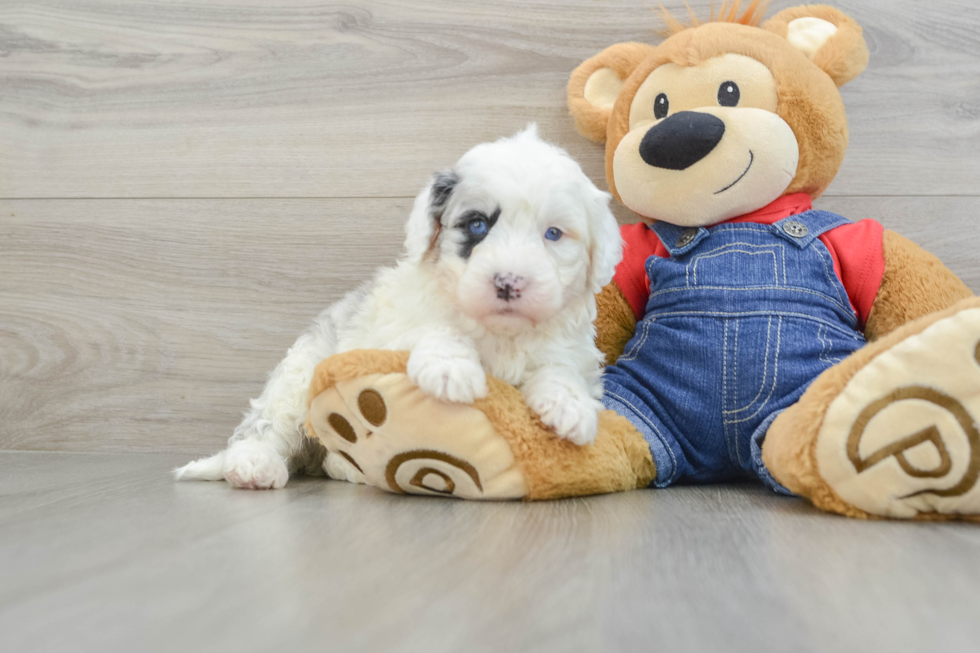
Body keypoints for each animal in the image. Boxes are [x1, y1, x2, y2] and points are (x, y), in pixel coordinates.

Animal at [175, 125, 620, 486]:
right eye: (477, 225)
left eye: (553, 234)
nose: (509, 282)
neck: (500, 333)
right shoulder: (390, 333)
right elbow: (432, 330)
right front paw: (452, 368)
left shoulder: (573, 352)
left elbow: (561, 369)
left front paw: (570, 406)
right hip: (298, 376)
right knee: (266, 426)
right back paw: (254, 465)